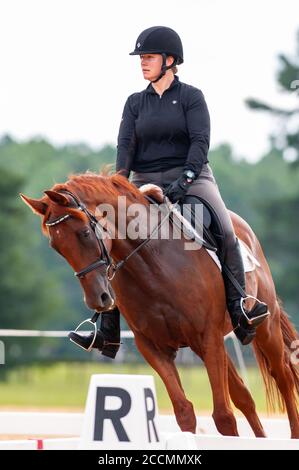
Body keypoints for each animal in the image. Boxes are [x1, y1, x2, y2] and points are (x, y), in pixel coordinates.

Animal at [21, 172, 299, 436]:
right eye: (56, 247)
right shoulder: (154, 346)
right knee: (244, 396)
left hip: (263, 329)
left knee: (283, 377)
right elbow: (184, 412)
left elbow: (223, 416)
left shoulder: (208, 336)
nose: (98, 299)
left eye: (85, 233)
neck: (153, 262)